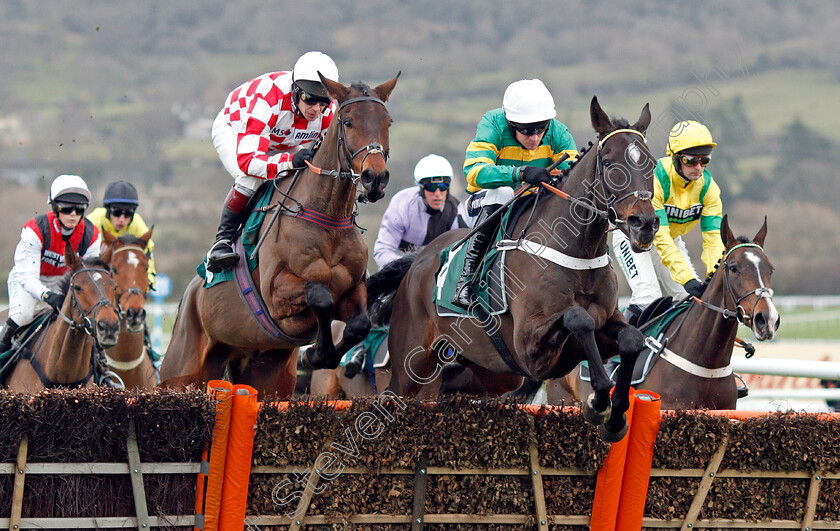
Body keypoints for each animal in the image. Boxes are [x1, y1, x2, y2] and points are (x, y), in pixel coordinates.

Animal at [165, 74, 404, 400]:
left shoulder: (354, 290)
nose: (375, 178)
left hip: (267, 376)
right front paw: (314, 353)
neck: (326, 218)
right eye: (348, 122)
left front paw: (315, 354)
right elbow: (320, 296)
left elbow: (359, 324)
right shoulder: (277, 294)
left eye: (387, 121)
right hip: (182, 373)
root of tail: (188, 297)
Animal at [380, 97, 664, 442]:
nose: (644, 224)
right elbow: (578, 317)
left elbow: (632, 339)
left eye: (650, 164)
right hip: (410, 365)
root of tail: (418, 262)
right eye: (609, 163)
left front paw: (616, 414)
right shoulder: (530, 347)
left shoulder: (605, 324)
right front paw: (599, 402)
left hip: (487, 369)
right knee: (391, 396)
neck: (576, 255)